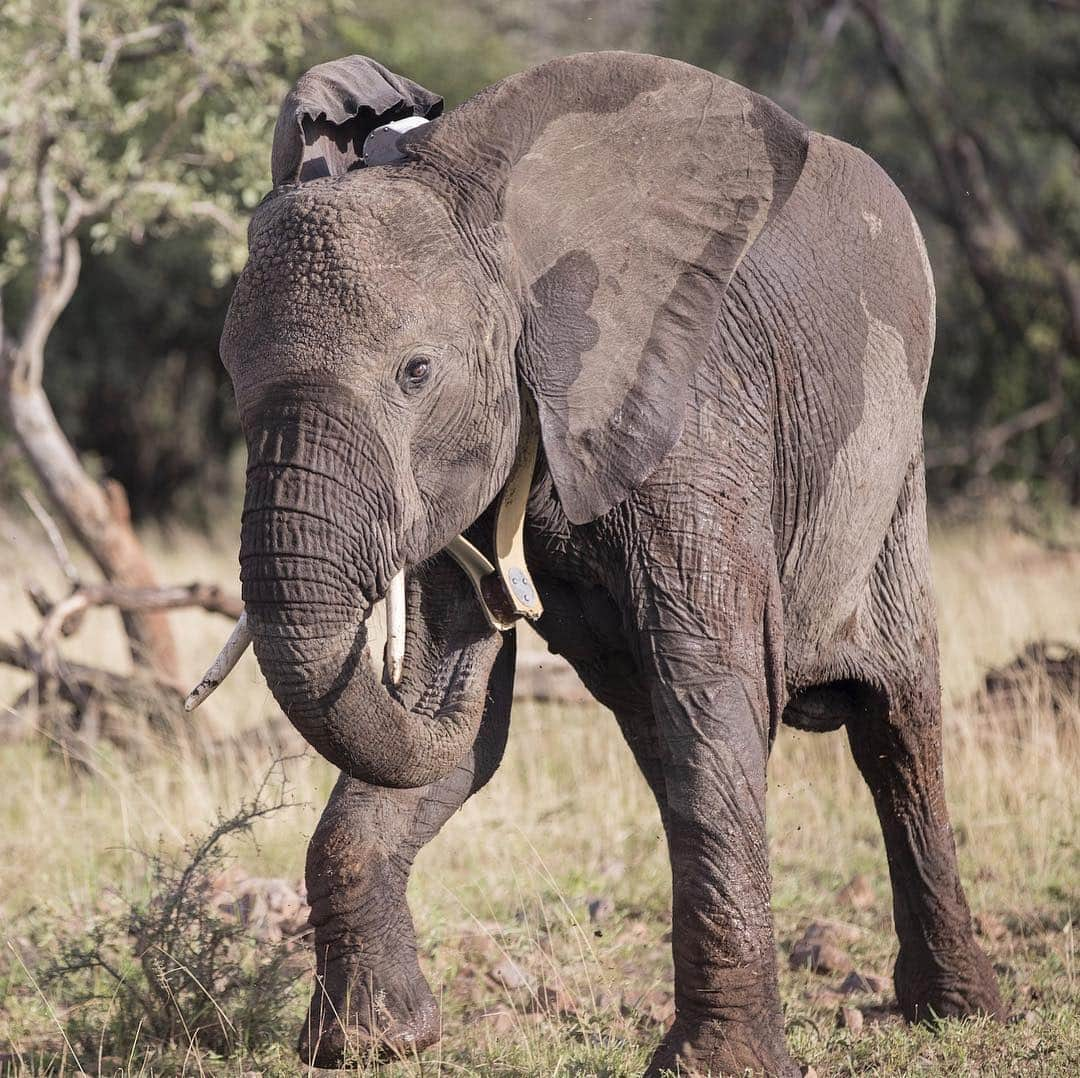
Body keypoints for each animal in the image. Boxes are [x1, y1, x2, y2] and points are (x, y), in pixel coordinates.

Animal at [206, 48, 1006, 1071]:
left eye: (417, 373)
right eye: (232, 379)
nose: (505, 607)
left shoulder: (696, 415)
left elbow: (709, 678)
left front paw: (716, 1069)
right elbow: (448, 734)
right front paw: (374, 1044)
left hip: (893, 473)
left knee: (895, 727)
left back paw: (961, 1014)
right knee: (667, 740)